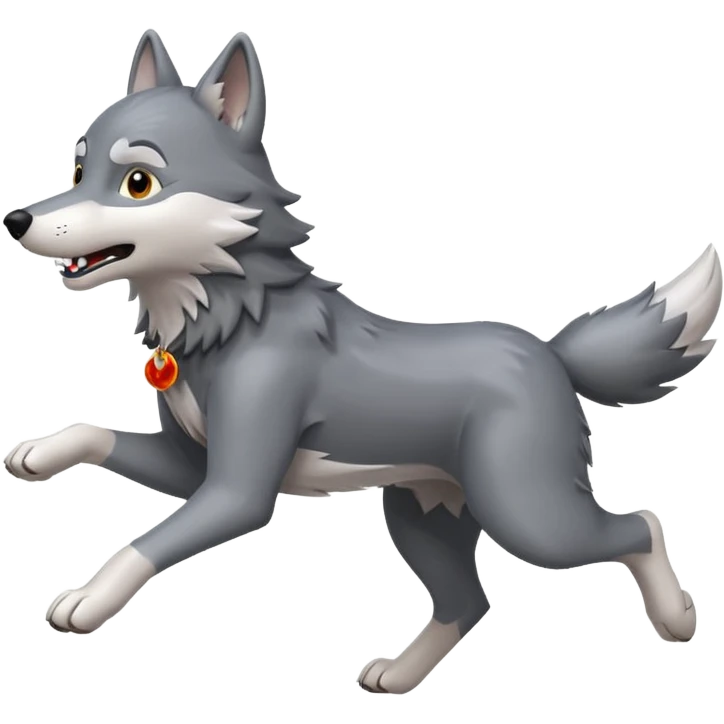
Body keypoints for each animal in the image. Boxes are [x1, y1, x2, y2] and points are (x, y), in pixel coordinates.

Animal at [2, 29, 720, 693]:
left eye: (138, 182)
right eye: (76, 172)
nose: (17, 220)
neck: (228, 313)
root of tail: (549, 352)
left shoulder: (236, 492)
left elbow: (141, 542)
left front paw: (86, 598)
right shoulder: (191, 467)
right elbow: (96, 432)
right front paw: (36, 453)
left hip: (528, 514)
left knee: (639, 524)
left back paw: (678, 618)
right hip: (423, 513)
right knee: (470, 601)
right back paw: (399, 674)